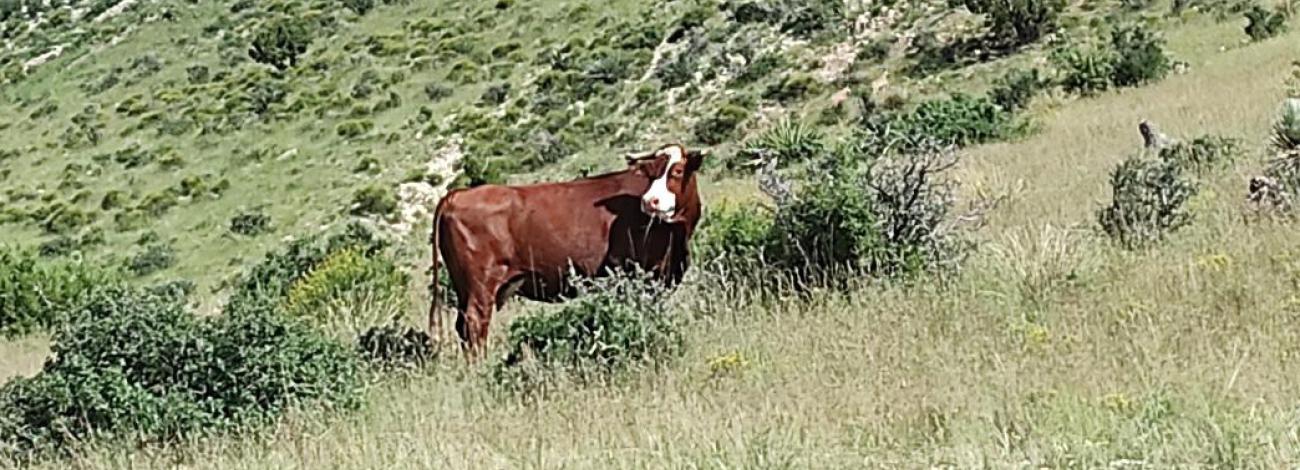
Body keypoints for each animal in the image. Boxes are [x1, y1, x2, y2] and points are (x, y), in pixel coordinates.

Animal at [428, 143, 707, 360]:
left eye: (677, 171)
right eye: (652, 174)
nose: (650, 201)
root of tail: (456, 195)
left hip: (463, 287)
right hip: (480, 285)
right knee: (475, 325)